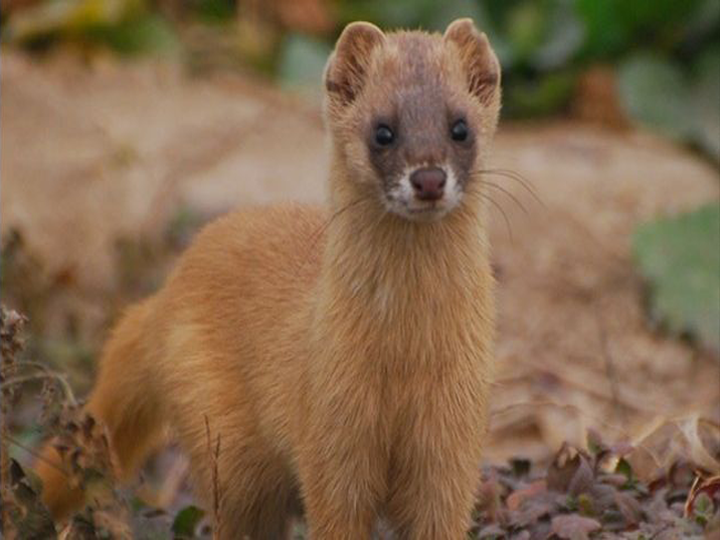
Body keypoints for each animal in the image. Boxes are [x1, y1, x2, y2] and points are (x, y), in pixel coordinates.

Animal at [38, 17, 500, 540]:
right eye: (383, 130)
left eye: (460, 127)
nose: (428, 178)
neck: (406, 361)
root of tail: (164, 294)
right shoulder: (328, 430)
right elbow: (334, 513)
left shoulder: (452, 442)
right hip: (226, 445)